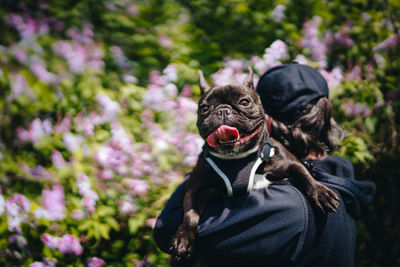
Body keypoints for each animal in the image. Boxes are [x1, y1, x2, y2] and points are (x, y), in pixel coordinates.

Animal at [170, 69, 340, 266]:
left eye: (244, 102)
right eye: (204, 108)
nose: (223, 110)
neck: (238, 158)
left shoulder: (291, 163)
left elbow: (305, 175)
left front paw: (321, 193)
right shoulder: (196, 190)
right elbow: (190, 214)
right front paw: (183, 239)